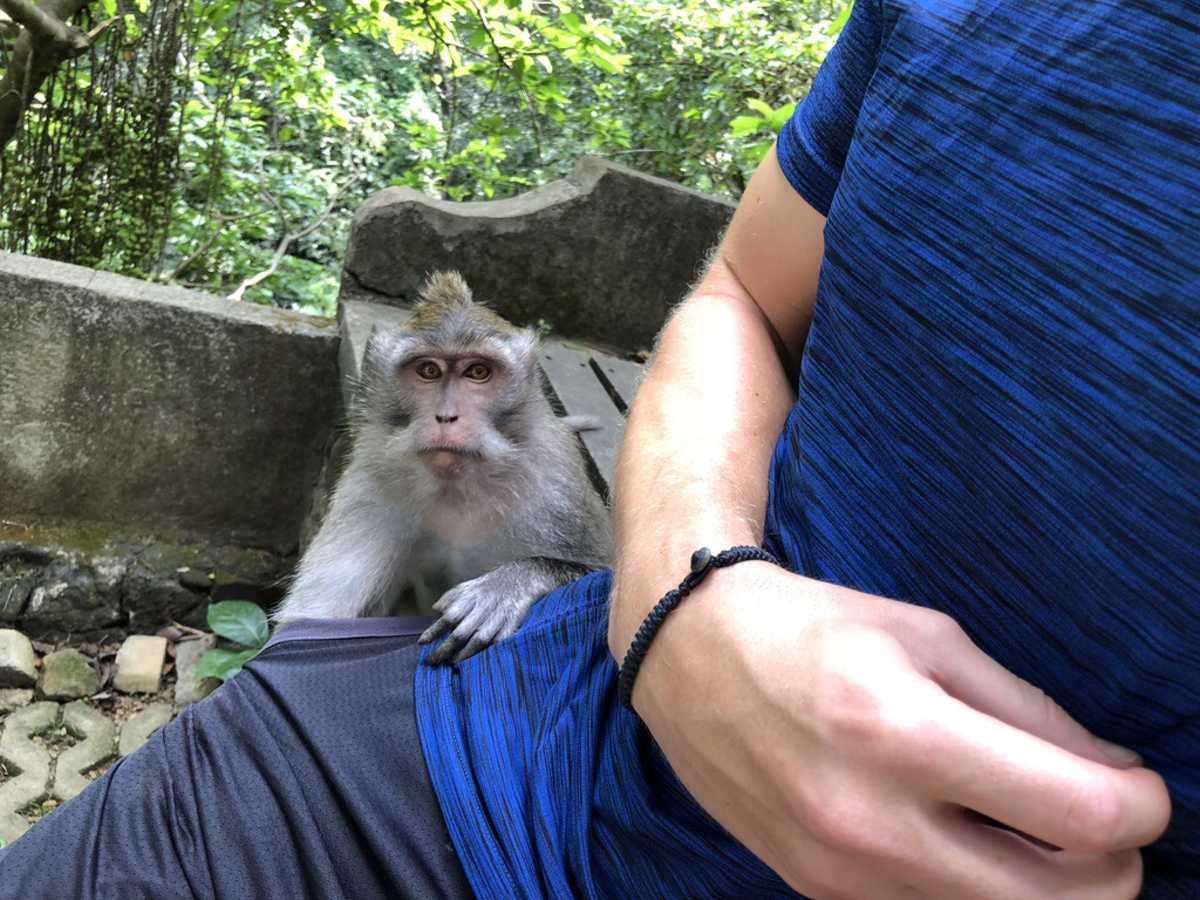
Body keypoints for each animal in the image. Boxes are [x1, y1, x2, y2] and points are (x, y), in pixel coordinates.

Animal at [276, 271, 614, 667]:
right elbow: (304, 626)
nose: (446, 416)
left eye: (478, 371)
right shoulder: (369, 485)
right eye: (428, 371)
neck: (459, 485)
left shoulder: (557, 492)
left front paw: (507, 587)